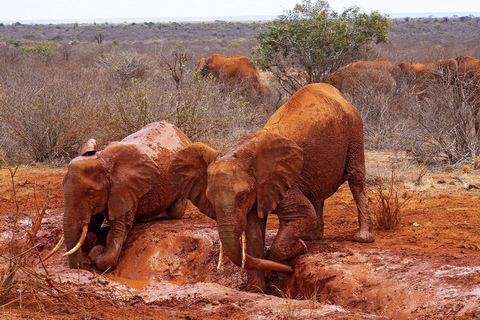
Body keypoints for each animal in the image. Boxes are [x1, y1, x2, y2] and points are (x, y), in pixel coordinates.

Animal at [62, 121, 191, 272]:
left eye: (91, 192)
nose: (81, 266)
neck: (103, 159)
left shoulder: (125, 191)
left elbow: (117, 235)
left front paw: (97, 250)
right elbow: (92, 226)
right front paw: (96, 237)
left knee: (176, 211)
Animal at [169, 83, 376, 292]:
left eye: (243, 196)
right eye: (210, 200)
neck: (240, 155)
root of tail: (338, 93)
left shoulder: (279, 184)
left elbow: (303, 215)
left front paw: (298, 248)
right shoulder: (260, 190)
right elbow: (253, 234)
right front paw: (258, 291)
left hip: (355, 130)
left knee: (356, 178)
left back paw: (361, 238)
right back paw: (312, 237)